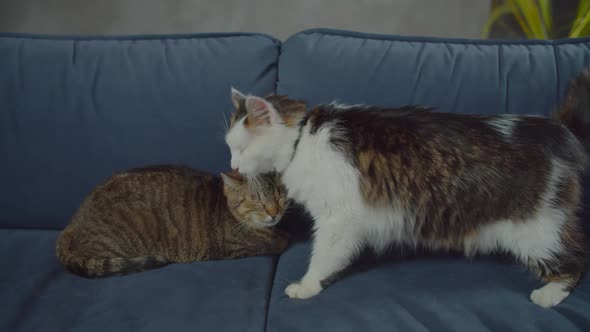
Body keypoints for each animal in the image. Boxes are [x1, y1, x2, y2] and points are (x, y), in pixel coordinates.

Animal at [54, 165, 290, 278]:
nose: (274, 213)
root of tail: (72, 222)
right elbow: (278, 243)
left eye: (280, 196)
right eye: (257, 201)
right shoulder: (242, 249)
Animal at [225, 70, 590, 308]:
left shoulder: (337, 220)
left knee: (575, 262)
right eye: (230, 148)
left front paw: (307, 286)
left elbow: (323, 257)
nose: (234, 166)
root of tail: (551, 130)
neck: (303, 139)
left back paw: (548, 295)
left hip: (536, 231)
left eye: (241, 148)